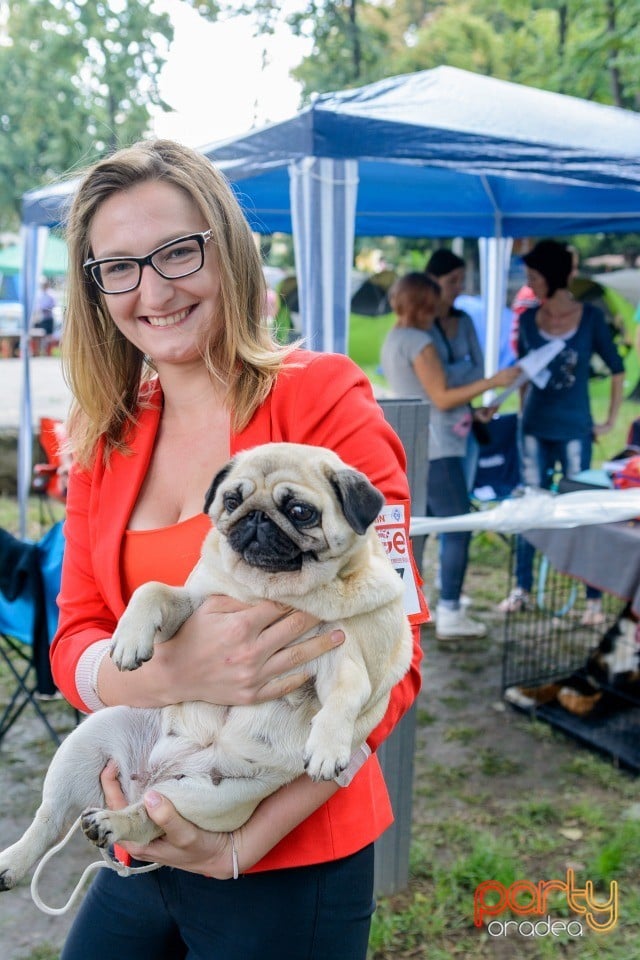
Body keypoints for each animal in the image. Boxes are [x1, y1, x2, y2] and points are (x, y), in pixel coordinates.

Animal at [0, 442, 410, 892]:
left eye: (301, 511)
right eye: (232, 501)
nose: (255, 516)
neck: (266, 591)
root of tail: (147, 780)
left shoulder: (338, 653)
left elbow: (345, 696)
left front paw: (327, 747)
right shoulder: (196, 606)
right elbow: (153, 591)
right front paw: (129, 638)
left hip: (207, 800)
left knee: (149, 817)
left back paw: (113, 822)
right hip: (86, 743)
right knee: (50, 818)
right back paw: (14, 860)